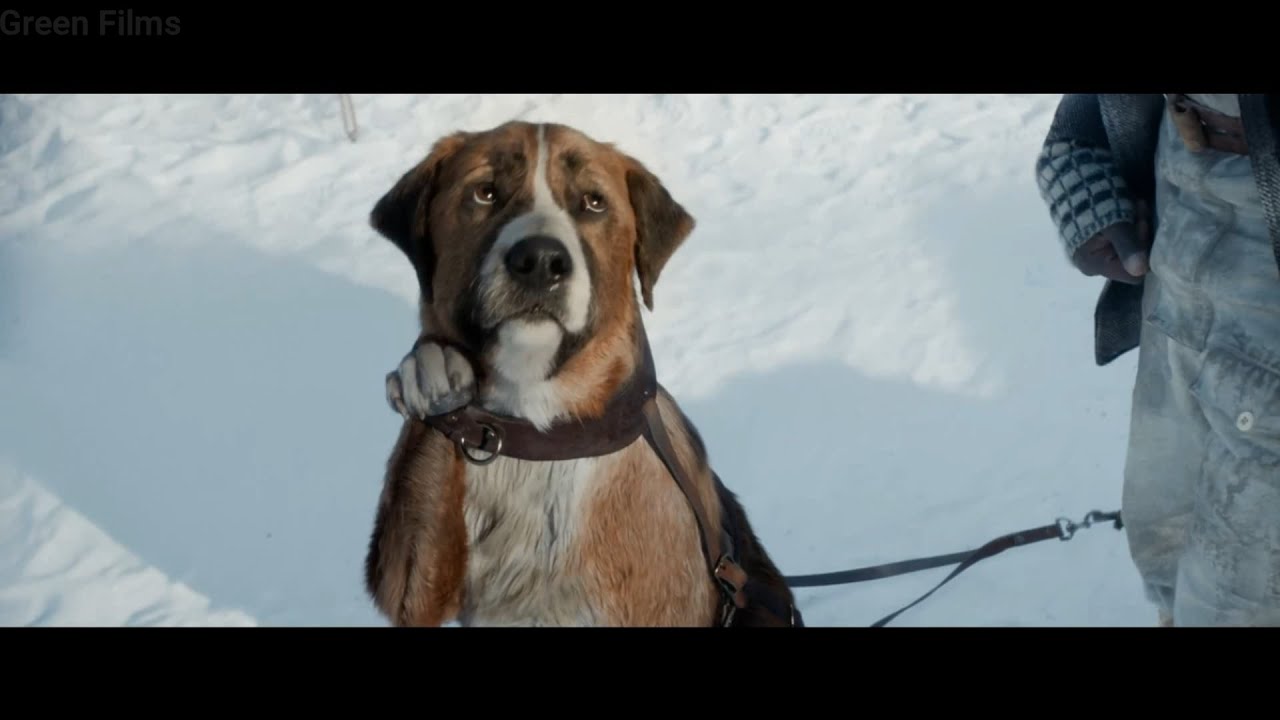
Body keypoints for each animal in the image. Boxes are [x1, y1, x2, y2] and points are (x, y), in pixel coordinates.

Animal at [363, 120, 798, 625]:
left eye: (593, 202)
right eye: (485, 193)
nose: (539, 261)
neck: (542, 433)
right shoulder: (416, 584)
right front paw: (432, 370)